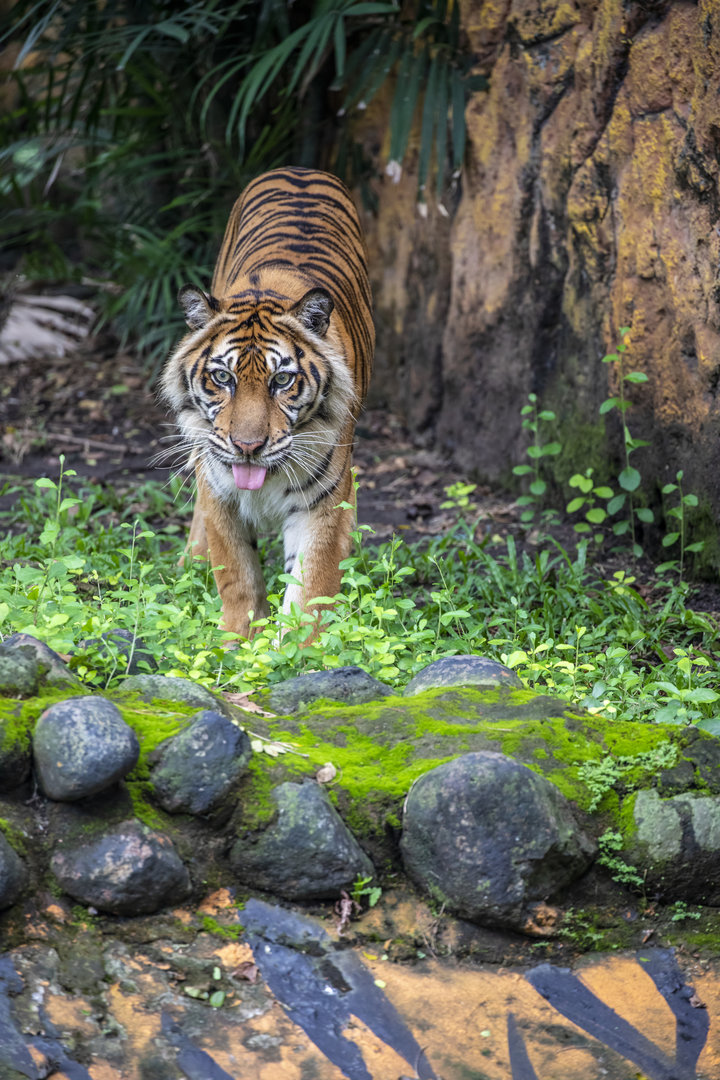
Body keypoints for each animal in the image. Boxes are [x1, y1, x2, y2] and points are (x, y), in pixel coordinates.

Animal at [161, 167, 374, 639]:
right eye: (223, 377)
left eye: (282, 381)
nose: (248, 447)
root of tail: (300, 169)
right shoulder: (220, 494)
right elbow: (236, 575)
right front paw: (237, 641)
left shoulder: (323, 505)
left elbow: (311, 591)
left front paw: (298, 652)